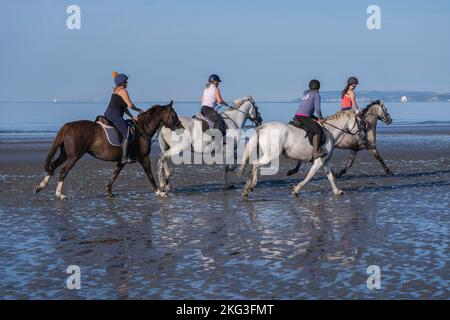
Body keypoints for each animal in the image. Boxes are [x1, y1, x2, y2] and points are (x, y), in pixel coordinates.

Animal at [33, 101, 183, 199]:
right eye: (174, 114)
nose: (180, 126)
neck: (142, 130)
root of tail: (68, 126)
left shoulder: (122, 161)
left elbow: (114, 175)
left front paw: (109, 191)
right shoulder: (144, 158)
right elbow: (150, 175)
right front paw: (159, 192)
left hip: (65, 154)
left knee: (52, 166)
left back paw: (41, 186)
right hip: (74, 156)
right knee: (63, 171)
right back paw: (59, 194)